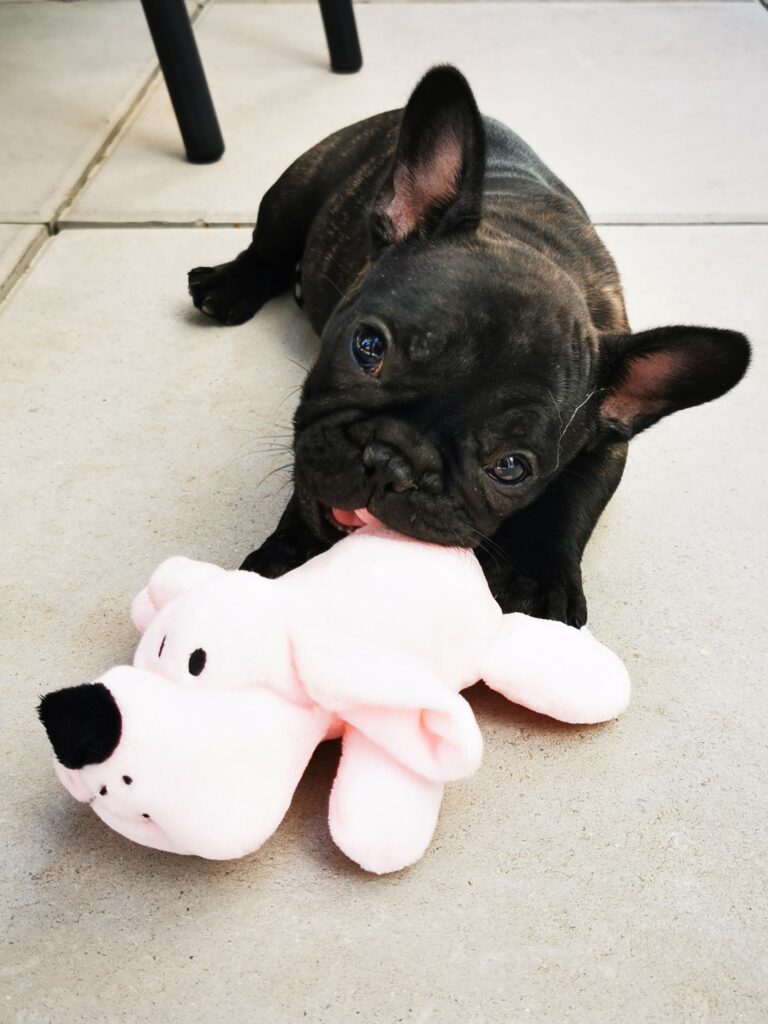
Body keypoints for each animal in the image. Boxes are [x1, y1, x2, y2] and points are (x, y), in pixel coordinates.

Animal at [188, 66, 753, 622]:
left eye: (511, 467)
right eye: (367, 346)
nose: (392, 463)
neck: (532, 243)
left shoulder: (609, 445)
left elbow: (571, 501)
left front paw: (539, 577)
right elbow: (308, 493)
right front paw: (288, 557)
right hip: (296, 189)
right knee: (268, 246)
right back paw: (229, 284)